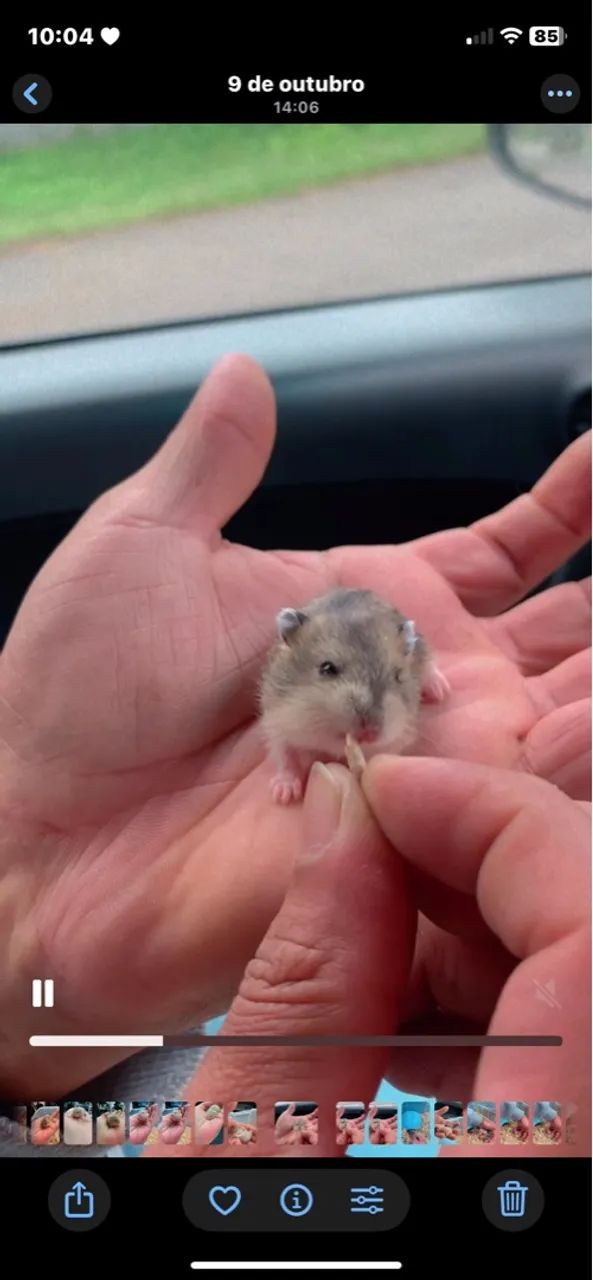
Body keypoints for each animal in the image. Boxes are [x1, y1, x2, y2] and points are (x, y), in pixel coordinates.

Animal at [258, 587, 450, 804]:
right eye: (327, 668)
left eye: (398, 676)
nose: (371, 733)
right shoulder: (277, 723)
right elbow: (286, 757)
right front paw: (284, 795)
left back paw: (440, 690)